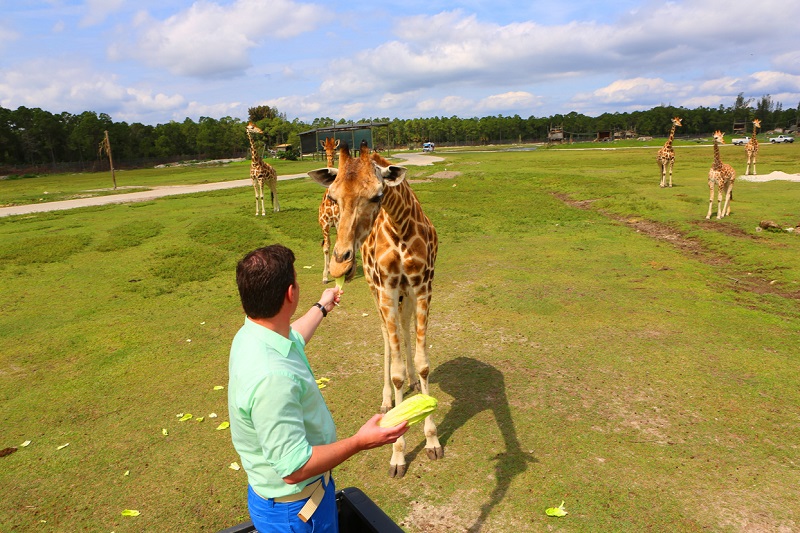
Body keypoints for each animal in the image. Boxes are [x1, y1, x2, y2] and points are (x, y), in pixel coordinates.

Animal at [310, 139, 444, 476]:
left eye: (377, 195)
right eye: (333, 196)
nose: (340, 264)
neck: (400, 226)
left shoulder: (422, 286)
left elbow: (423, 362)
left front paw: (432, 440)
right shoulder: (386, 289)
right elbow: (395, 371)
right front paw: (397, 454)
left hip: (404, 295)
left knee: (403, 330)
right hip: (377, 289)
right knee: (385, 336)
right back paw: (386, 400)